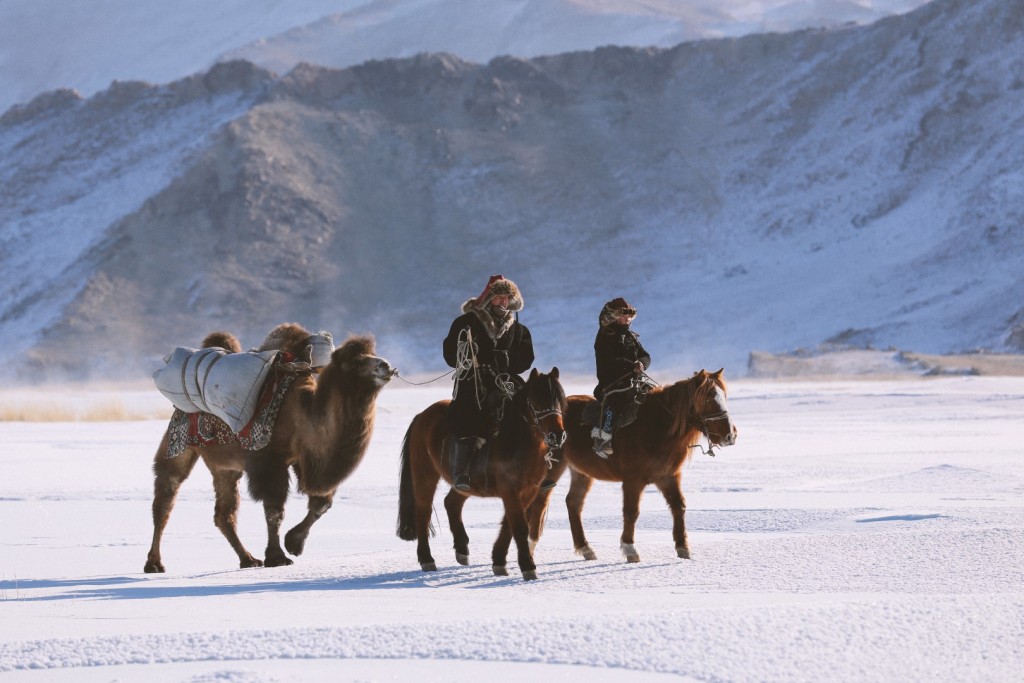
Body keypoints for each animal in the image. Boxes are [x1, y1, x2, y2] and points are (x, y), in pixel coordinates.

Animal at [144, 327, 395, 573]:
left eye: (373, 354)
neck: (305, 413)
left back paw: (247, 559)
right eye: (355, 362)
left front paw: (294, 543)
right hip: (178, 443)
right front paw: (277, 556)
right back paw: (154, 563)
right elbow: (275, 510)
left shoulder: (303, 458)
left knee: (223, 514)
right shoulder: (270, 461)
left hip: (225, 466)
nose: (385, 365)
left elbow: (321, 503)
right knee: (166, 497)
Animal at [395, 368, 569, 581]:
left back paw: (462, 549)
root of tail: (421, 416)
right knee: (424, 512)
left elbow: (508, 524)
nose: (557, 435)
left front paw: (499, 561)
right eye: (535, 399)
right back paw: (427, 559)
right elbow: (519, 526)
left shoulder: (529, 490)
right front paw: (528, 567)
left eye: (560, 400)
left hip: (463, 485)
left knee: (451, 502)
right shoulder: (510, 490)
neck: (518, 440)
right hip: (425, 476)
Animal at [528, 370, 737, 565]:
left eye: (724, 396)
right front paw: (630, 549)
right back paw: (531, 545)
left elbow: (679, 506)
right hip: (553, 468)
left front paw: (683, 547)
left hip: (581, 472)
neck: (657, 426)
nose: (731, 435)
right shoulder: (633, 479)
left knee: (573, 503)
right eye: (709, 398)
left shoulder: (668, 476)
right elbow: (631, 511)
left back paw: (585, 548)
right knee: (539, 502)